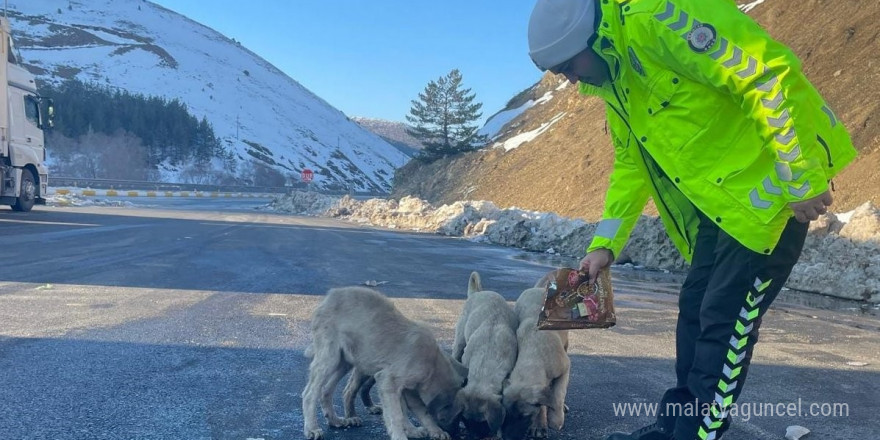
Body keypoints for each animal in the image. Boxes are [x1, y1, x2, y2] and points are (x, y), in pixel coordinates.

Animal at [302, 286, 468, 440]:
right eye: (456, 417)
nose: (457, 433)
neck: (432, 364)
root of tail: (330, 295)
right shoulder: (389, 381)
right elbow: (396, 414)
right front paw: (401, 435)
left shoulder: (407, 389)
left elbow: (417, 411)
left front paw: (425, 431)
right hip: (329, 357)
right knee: (310, 393)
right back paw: (312, 428)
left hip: (345, 361)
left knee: (326, 390)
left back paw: (335, 420)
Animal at [502, 288, 572, 438]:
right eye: (507, 414)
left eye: (524, 416)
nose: (507, 437)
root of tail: (539, 288)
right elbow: (542, 404)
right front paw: (539, 424)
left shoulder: (565, 368)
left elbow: (558, 395)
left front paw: (555, 420)